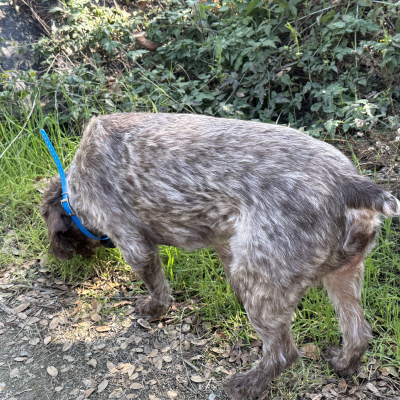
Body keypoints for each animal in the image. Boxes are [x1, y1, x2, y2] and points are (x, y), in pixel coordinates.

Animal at [41, 113, 400, 399]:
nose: (54, 258)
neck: (73, 189)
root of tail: (348, 183)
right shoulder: (225, 244)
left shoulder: (134, 245)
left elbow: (156, 287)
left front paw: (154, 309)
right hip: (341, 276)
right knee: (358, 333)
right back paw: (343, 364)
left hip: (261, 283)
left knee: (284, 353)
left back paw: (248, 385)